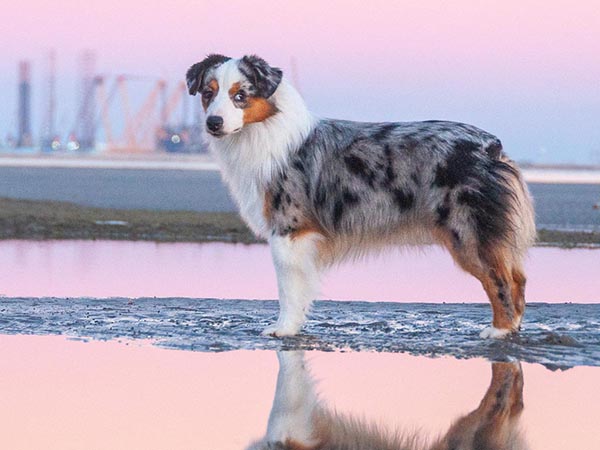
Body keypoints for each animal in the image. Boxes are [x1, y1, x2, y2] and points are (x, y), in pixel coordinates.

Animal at [186, 54, 536, 340]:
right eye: (208, 93)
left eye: (240, 96)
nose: (213, 123)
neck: (265, 130)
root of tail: (490, 145)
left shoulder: (289, 229)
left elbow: (288, 288)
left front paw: (283, 329)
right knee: (518, 278)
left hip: (467, 233)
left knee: (500, 280)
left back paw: (499, 331)